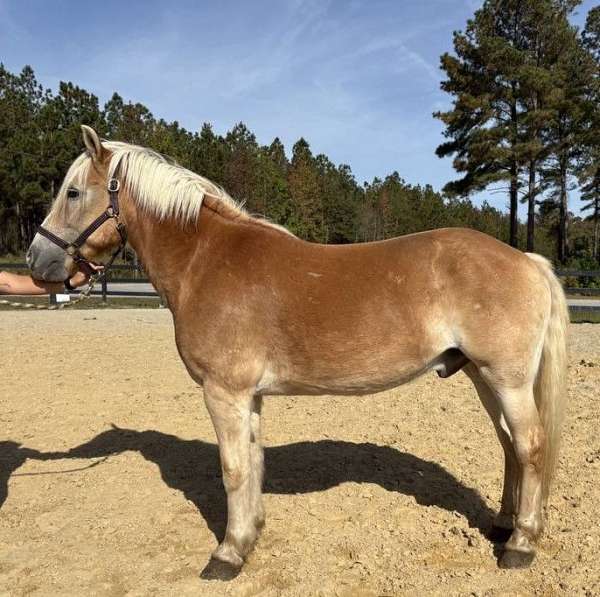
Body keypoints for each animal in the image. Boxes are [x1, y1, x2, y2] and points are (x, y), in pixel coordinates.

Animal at [27, 124, 568, 572]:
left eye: (73, 192)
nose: (37, 259)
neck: (206, 260)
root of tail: (527, 260)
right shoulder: (248, 397)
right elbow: (253, 463)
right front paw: (249, 537)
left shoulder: (223, 392)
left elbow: (232, 469)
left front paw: (227, 554)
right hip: (482, 376)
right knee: (509, 446)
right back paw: (502, 526)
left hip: (506, 379)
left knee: (530, 446)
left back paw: (520, 545)